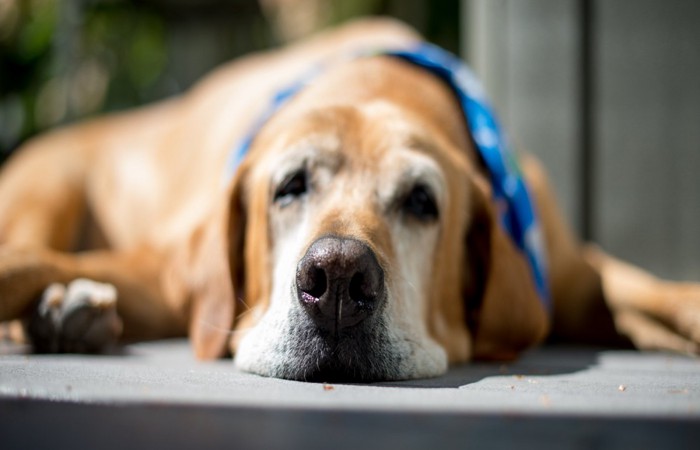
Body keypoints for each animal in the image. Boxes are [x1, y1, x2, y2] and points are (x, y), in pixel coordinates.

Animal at [1, 19, 700, 382]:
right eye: (289, 186)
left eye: (422, 201)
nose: (336, 279)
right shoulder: (168, 271)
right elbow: (25, 261)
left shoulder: (578, 273)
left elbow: (660, 293)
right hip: (49, 182)